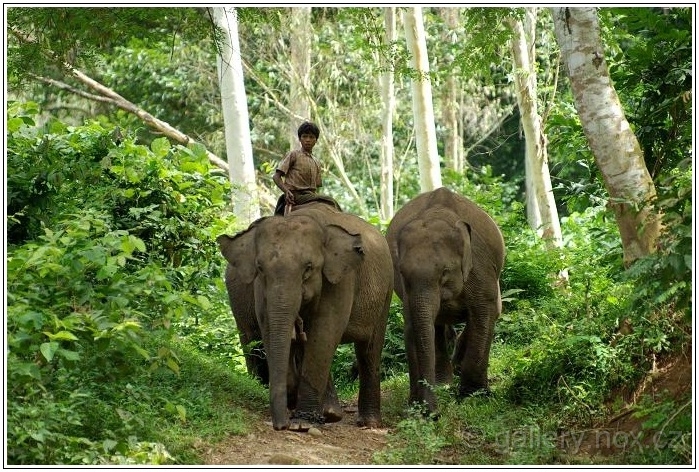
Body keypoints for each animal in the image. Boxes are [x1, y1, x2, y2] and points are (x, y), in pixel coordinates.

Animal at [217, 203, 394, 432]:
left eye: (308, 268)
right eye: (260, 268)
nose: (280, 426)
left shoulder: (340, 279)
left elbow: (324, 332)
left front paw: (303, 424)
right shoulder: (259, 288)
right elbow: (270, 329)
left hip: (386, 290)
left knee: (369, 349)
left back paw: (367, 423)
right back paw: (329, 413)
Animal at [386, 186, 506, 414]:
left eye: (444, 272)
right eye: (402, 273)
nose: (432, 413)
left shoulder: (479, 266)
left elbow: (484, 313)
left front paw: (474, 395)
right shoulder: (407, 292)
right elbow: (414, 325)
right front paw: (418, 405)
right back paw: (444, 383)